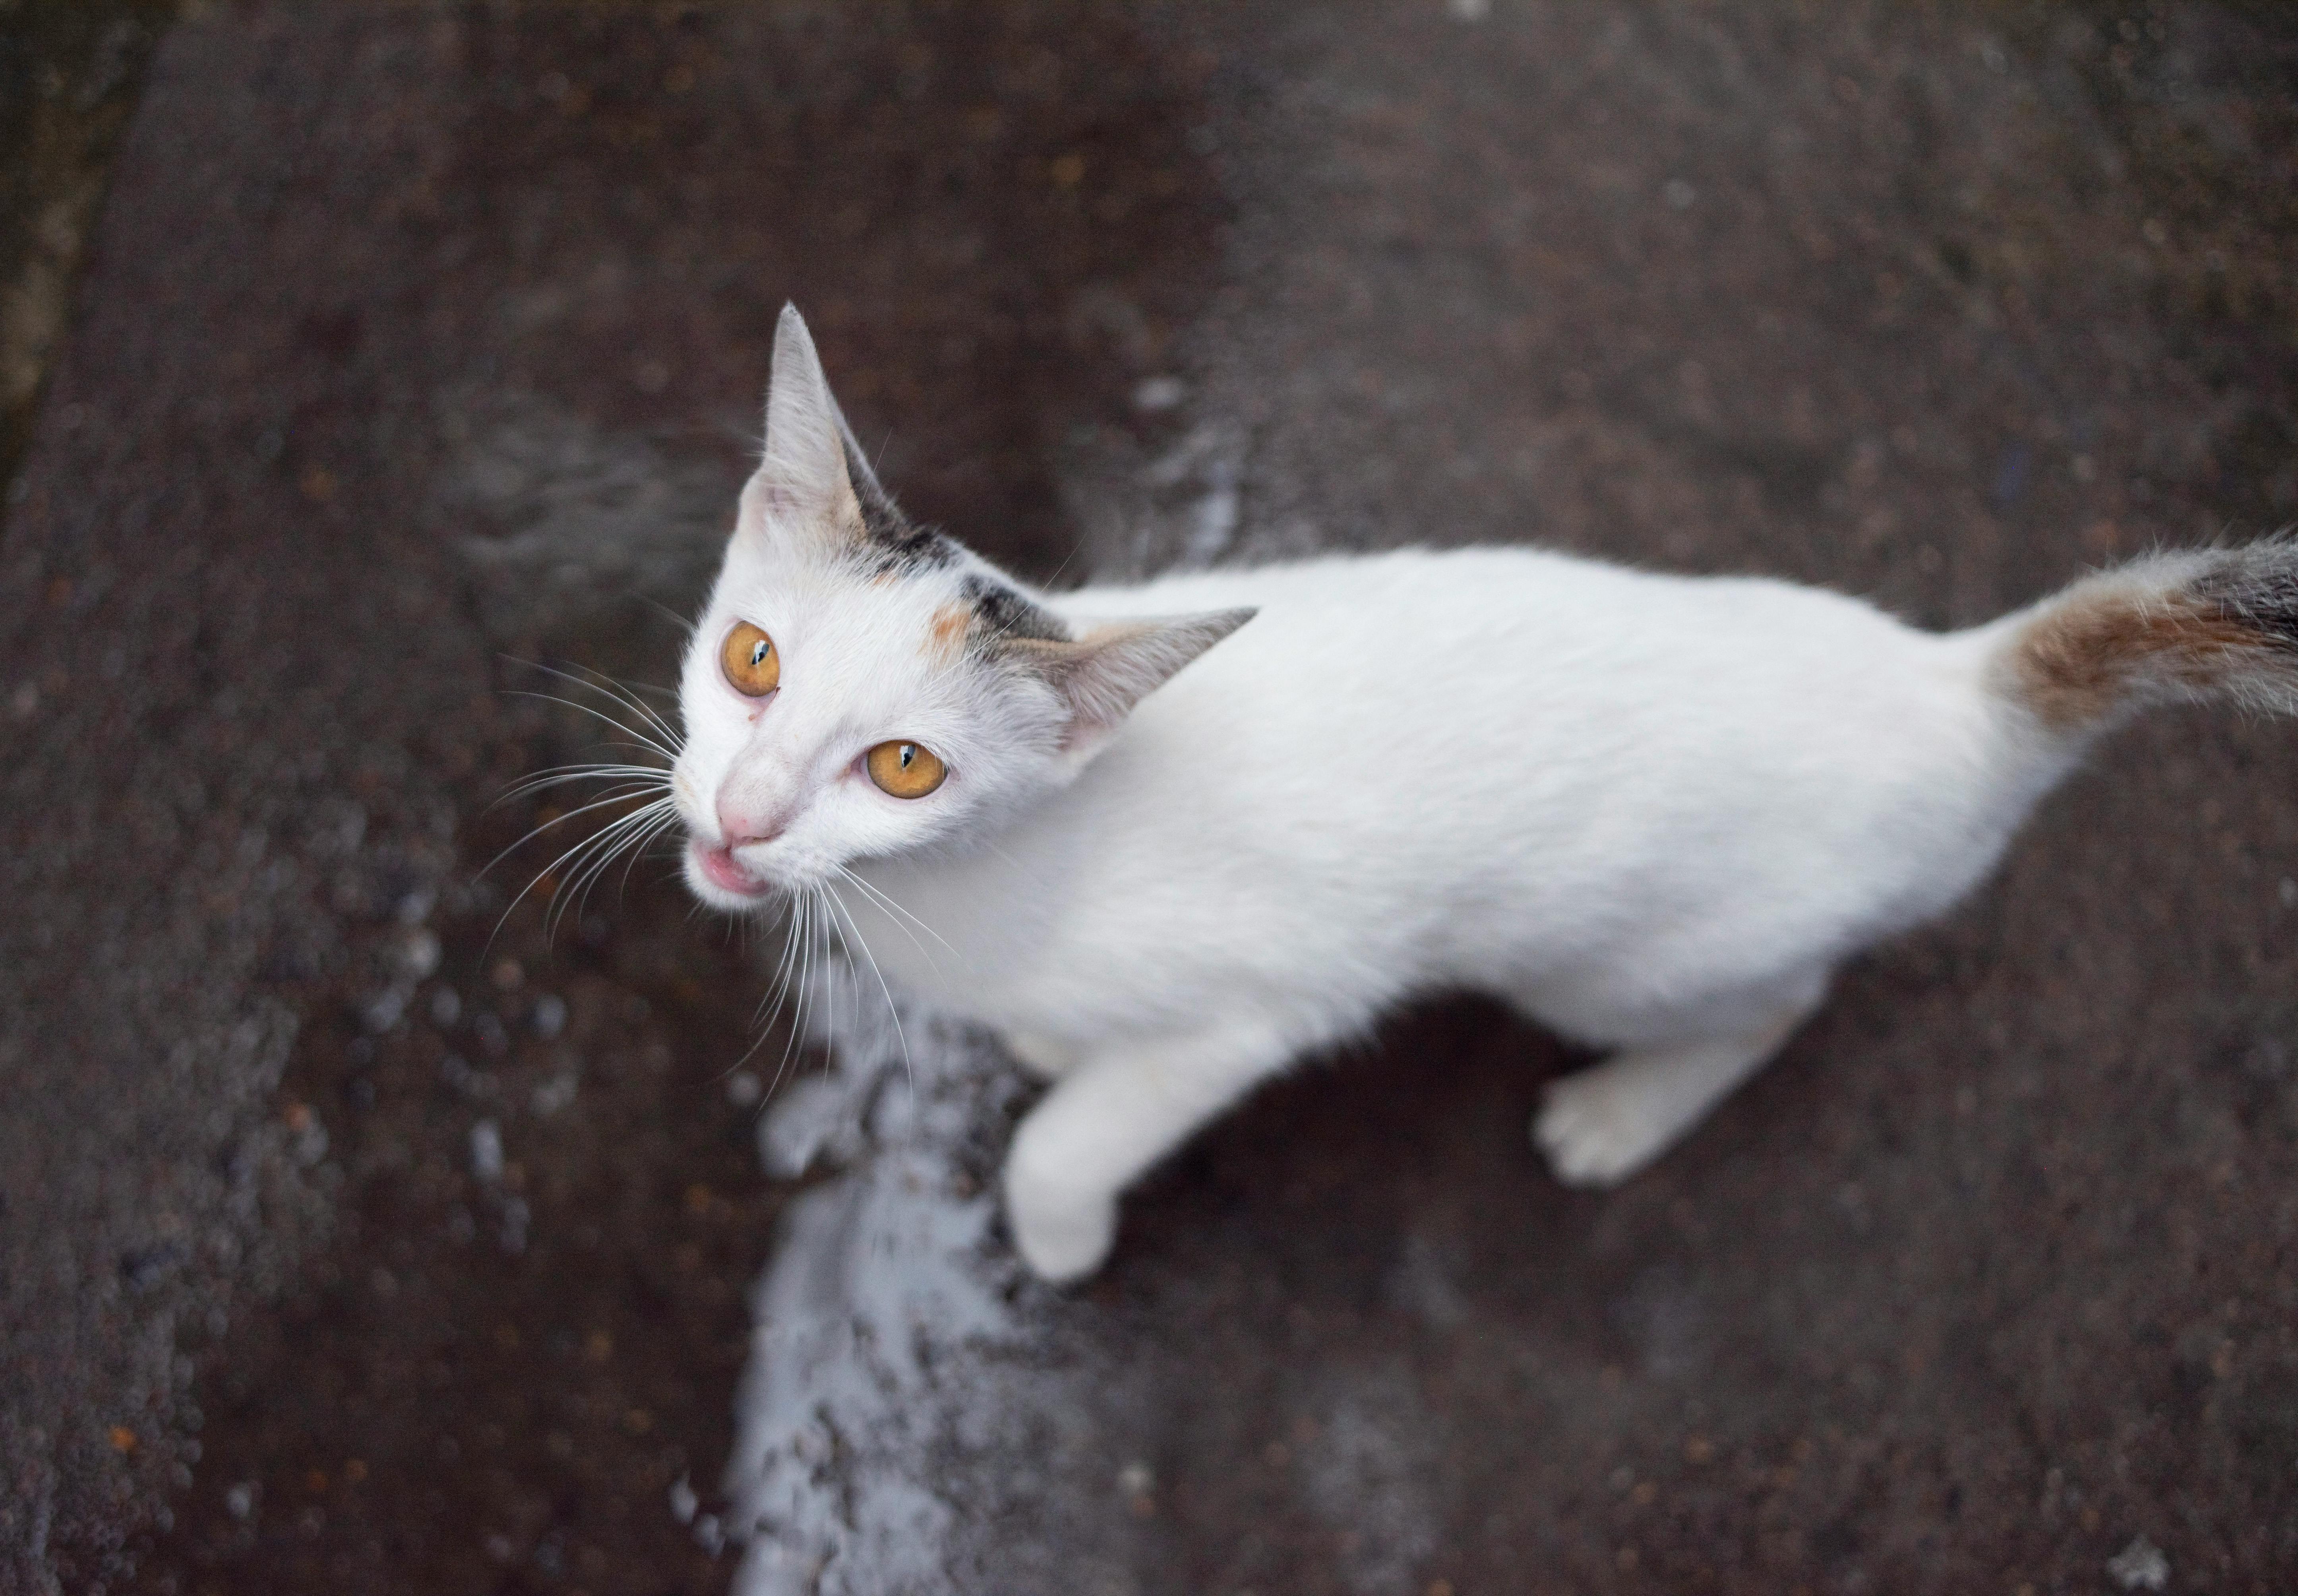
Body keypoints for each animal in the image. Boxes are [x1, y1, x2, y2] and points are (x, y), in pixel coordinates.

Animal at [671, 310, 2298, 1288]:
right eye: (751, 661)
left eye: (903, 767)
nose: (741, 817)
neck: (966, 888)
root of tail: (1953, 686)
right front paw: (1054, 1041)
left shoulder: (1263, 1004)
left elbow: (1070, 1136)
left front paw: (1059, 1228)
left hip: (1623, 959)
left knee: (1774, 1005)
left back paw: (1627, 1112)